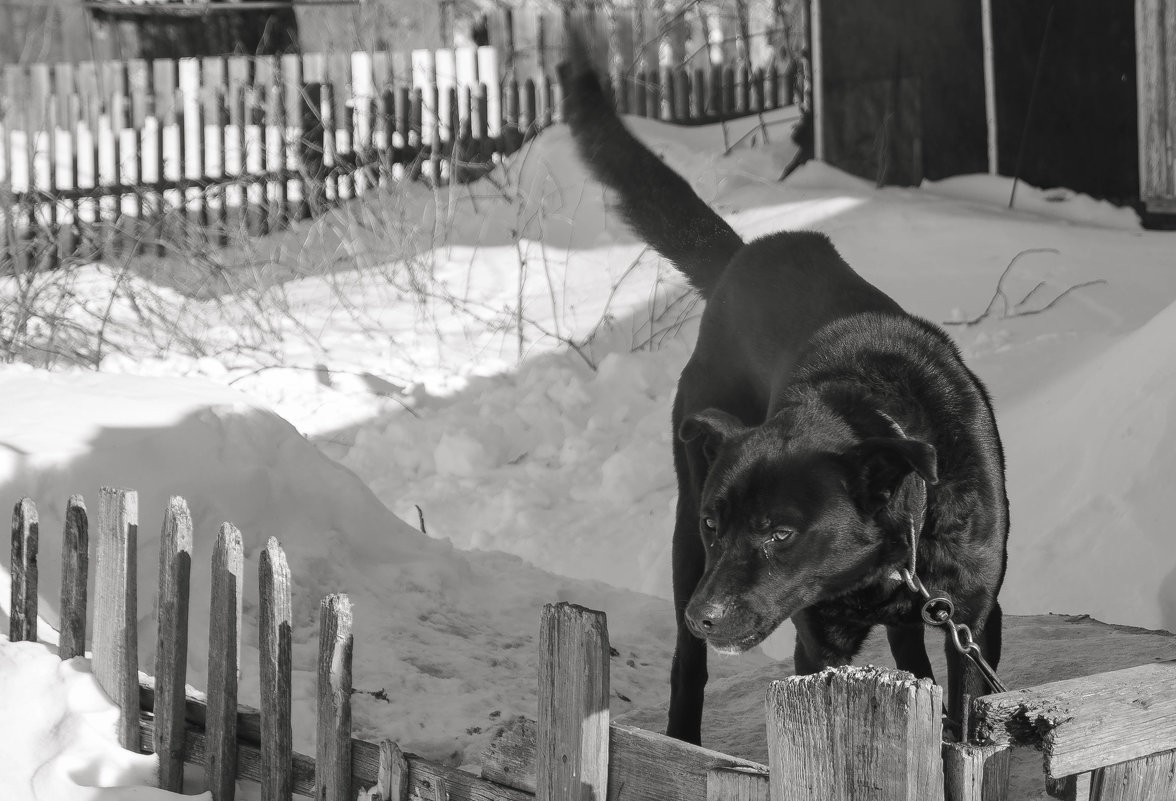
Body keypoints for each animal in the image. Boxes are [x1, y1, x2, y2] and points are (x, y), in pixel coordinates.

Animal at [559, 43, 1011, 743]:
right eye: (719, 524)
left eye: (779, 533)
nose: (706, 616)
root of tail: (745, 259)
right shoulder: (819, 641)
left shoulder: (972, 616)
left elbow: (963, 719)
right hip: (684, 544)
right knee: (688, 667)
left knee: (910, 651)